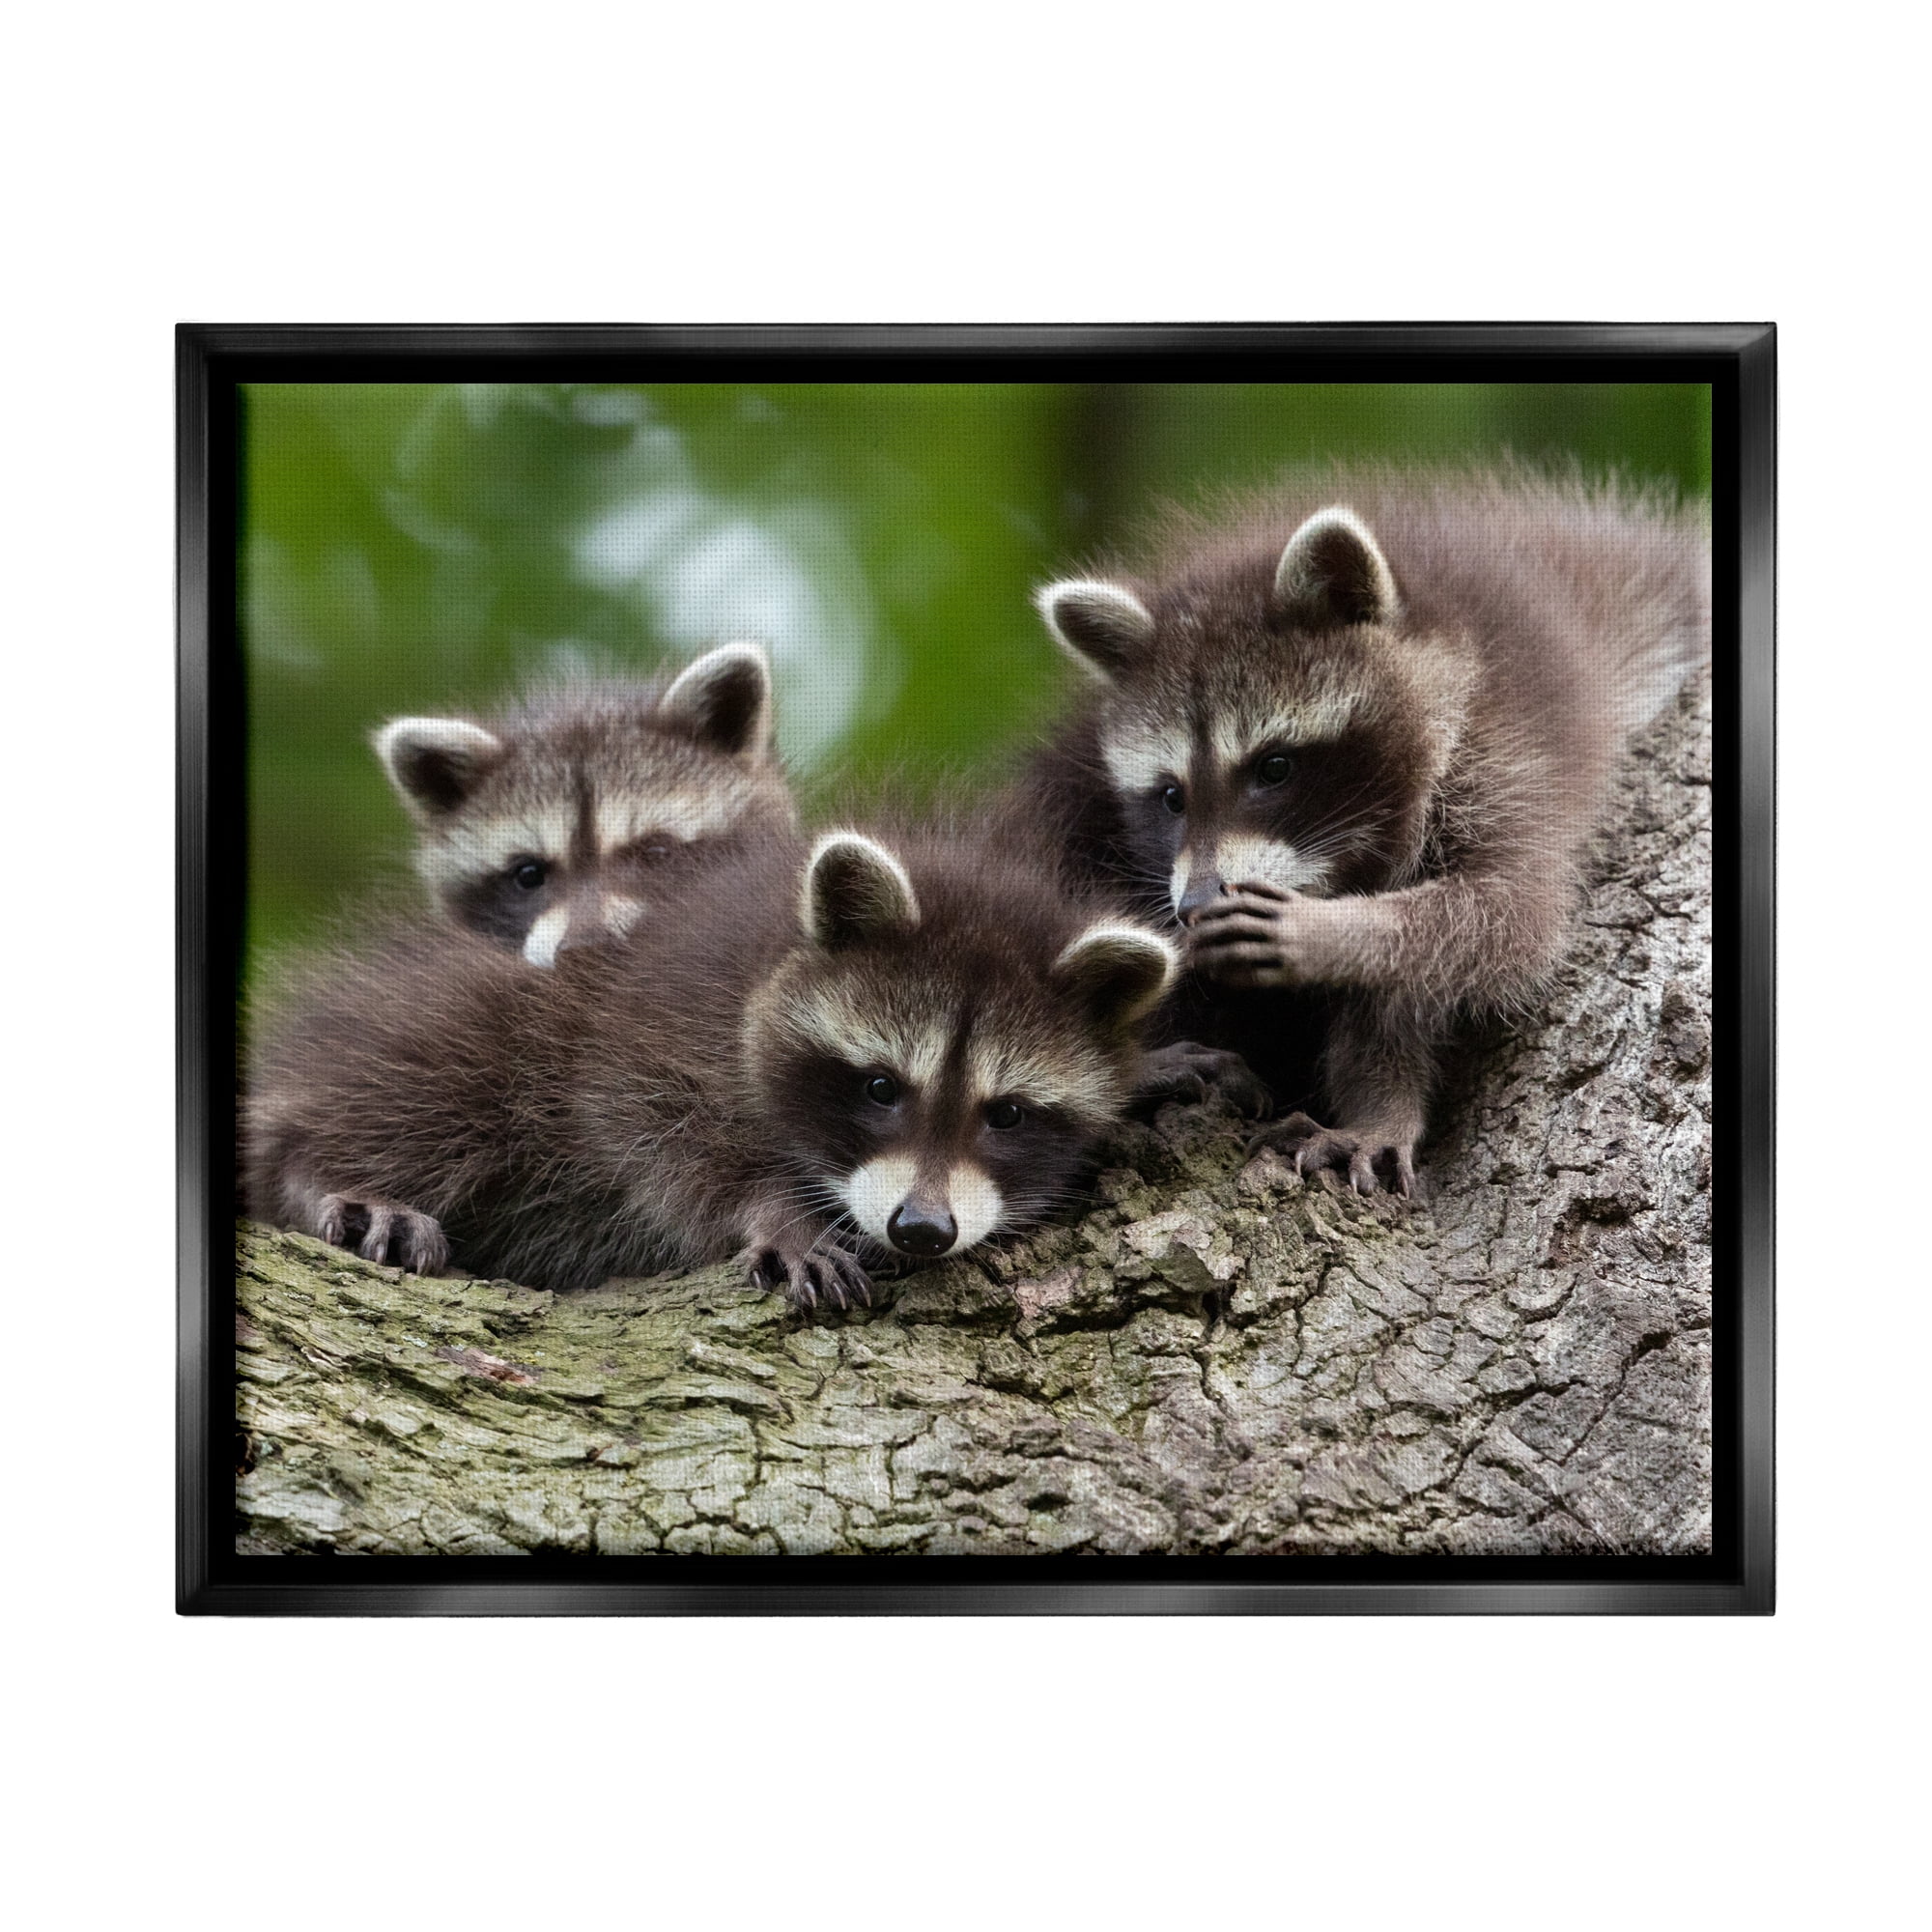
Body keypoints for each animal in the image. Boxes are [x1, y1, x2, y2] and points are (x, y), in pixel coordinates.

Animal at [244, 824, 1178, 1308]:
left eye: (1007, 1113)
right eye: (881, 1087)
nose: (920, 1228)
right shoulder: (659, 1019)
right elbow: (656, 1134)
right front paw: (775, 1211)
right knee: (445, 1071)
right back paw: (318, 1170)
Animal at [1023, 465, 1710, 1195]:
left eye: (1274, 767)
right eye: (1171, 796)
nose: (1197, 903)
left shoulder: (1509, 750)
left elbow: (1507, 918)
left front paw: (1337, 932)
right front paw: (1382, 1102)